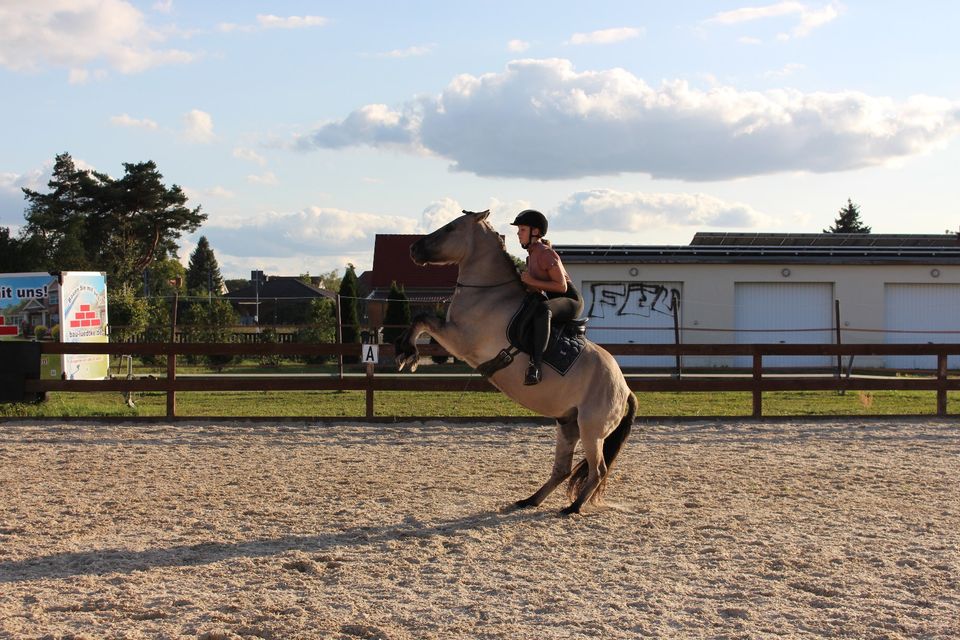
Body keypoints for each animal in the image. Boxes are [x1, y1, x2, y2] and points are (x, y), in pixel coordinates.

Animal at [394, 210, 632, 516]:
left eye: (450, 228)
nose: (413, 249)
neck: (487, 292)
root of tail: (625, 388)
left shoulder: (459, 338)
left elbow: (422, 318)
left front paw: (406, 353)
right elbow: (420, 319)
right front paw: (403, 351)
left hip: (592, 430)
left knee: (598, 469)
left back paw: (573, 507)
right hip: (568, 425)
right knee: (563, 469)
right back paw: (530, 500)